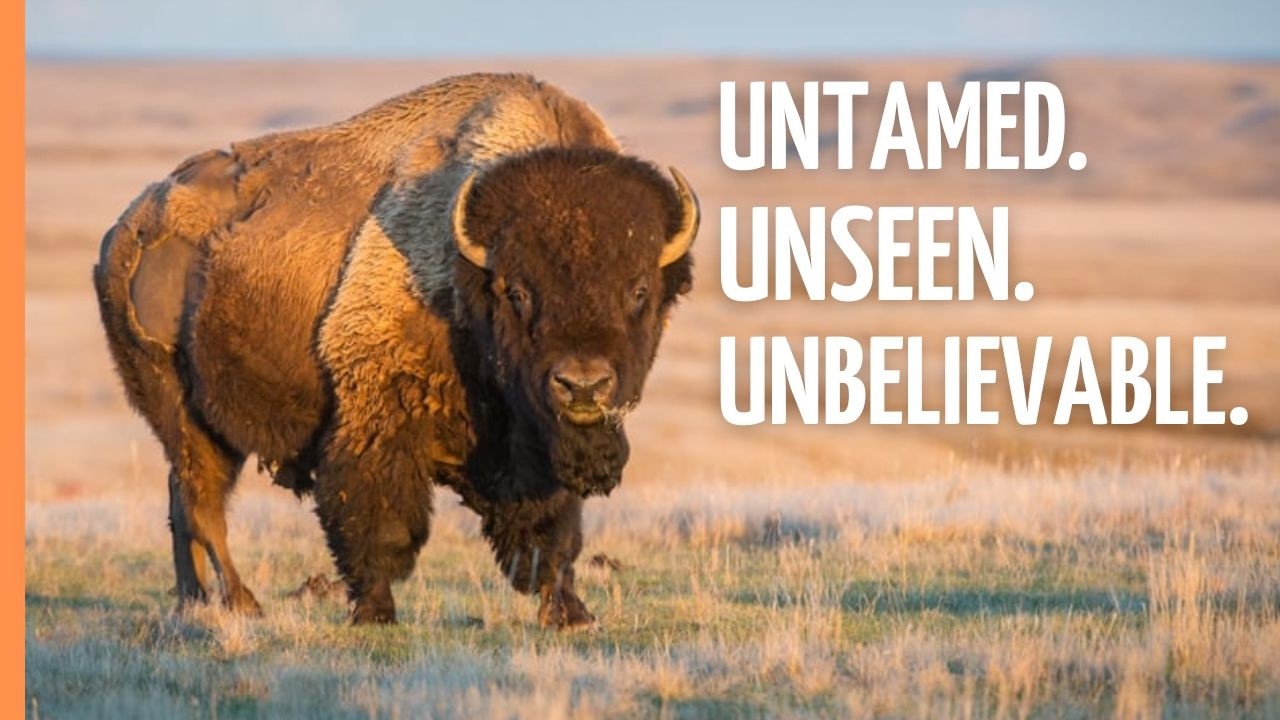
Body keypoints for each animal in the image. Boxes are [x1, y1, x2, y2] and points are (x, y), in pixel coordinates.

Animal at [94, 73, 698, 627]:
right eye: (517, 291)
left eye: (639, 290)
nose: (583, 385)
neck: (466, 276)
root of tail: (126, 229)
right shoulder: (376, 420)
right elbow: (379, 522)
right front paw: (374, 613)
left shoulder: (535, 449)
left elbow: (551, 533)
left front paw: (571, 614)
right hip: (180, 411)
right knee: (202, 503)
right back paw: (243, 604)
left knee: (183, 504)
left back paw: (192, 602)